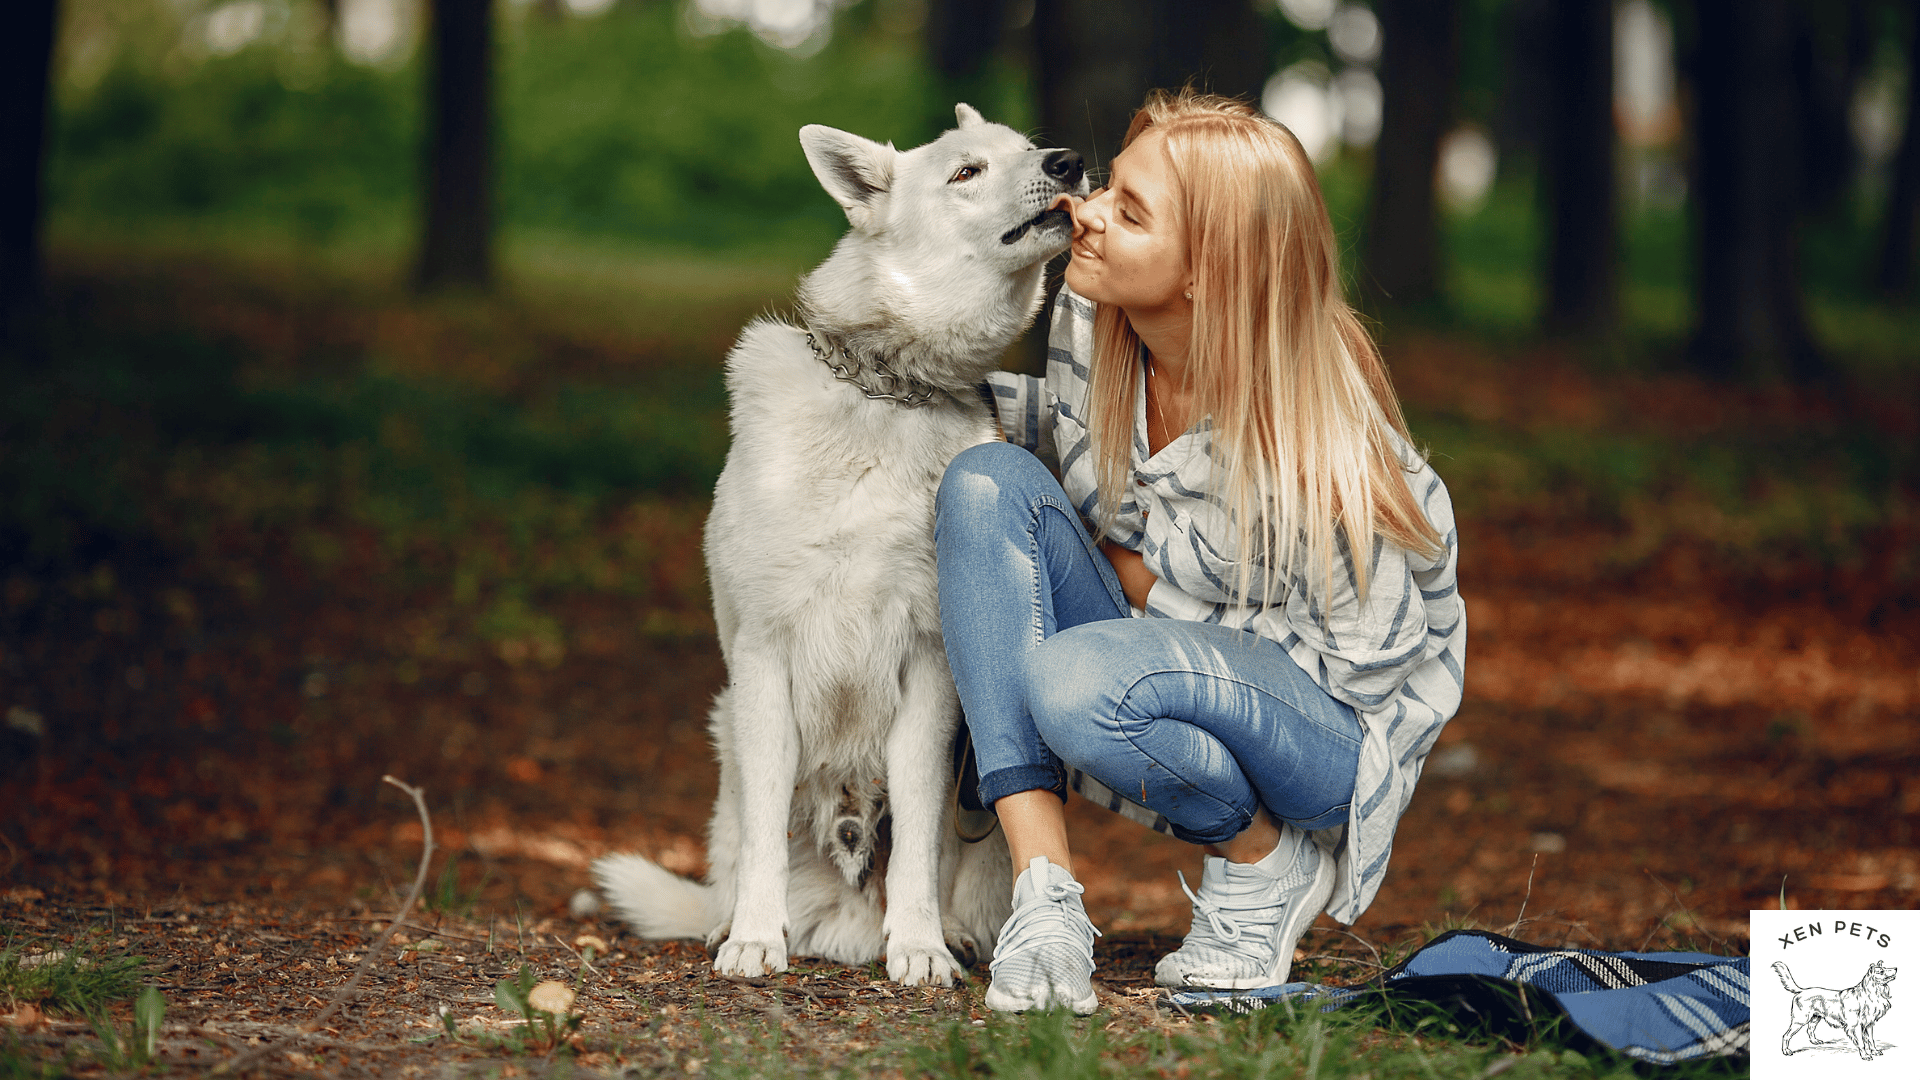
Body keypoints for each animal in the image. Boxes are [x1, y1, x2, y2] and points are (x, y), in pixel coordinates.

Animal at [591, 105, 1090, 980]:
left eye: (1027, 147)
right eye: (966, 171)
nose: (1068, 162)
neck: (889, 393)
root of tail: (843, 922)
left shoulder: (930, 666)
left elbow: (919, 836)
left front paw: (920, 947)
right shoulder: (765, 656)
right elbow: (764, 828)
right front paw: (756, 940)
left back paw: (949, 934)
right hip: (730, 738)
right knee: (736, 864)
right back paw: (734, 924)